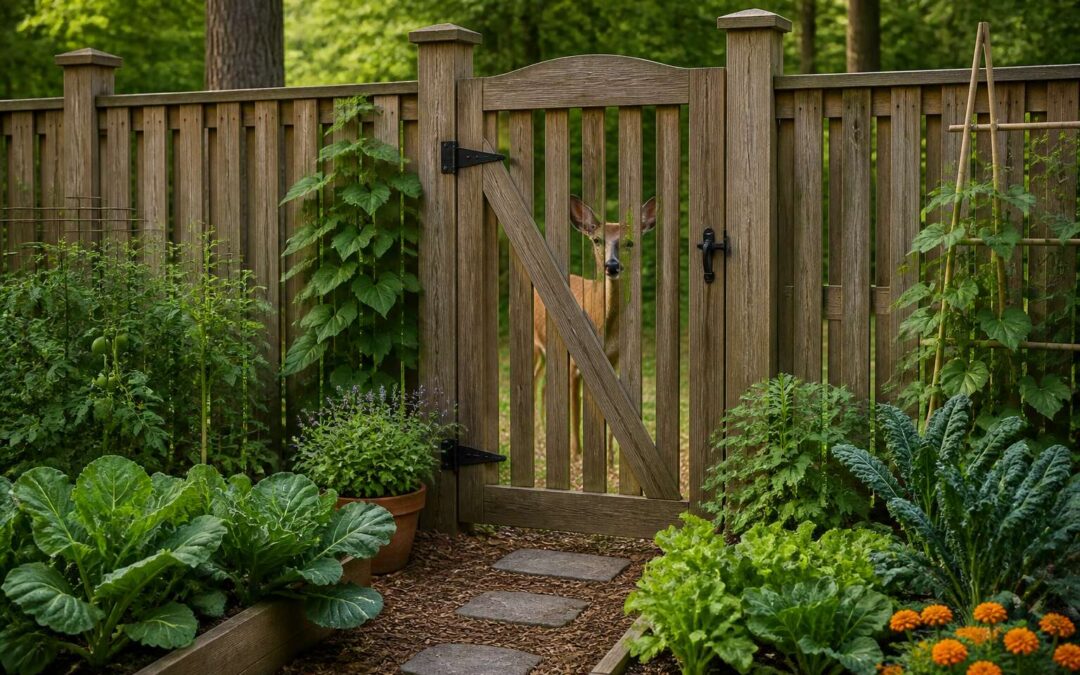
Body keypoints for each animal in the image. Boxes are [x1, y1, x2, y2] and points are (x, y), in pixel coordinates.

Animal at [533, 195, 657, 456]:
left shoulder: (614, 359)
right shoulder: (574, 363)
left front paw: (609, 456)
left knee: (543, 382)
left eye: (630, 242)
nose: (612, 265)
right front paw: (576, 453)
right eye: (597, 239)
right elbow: (575, 409)